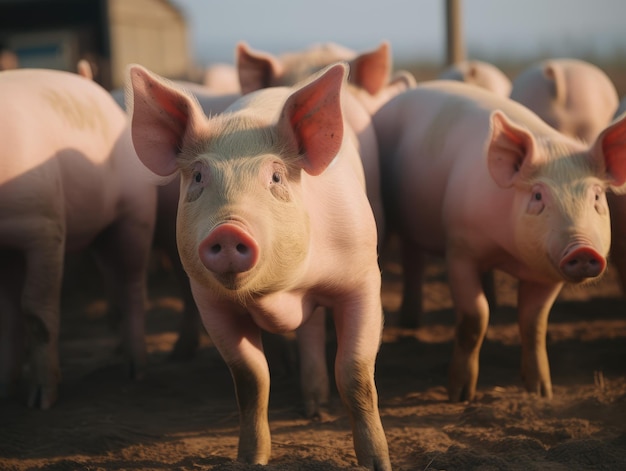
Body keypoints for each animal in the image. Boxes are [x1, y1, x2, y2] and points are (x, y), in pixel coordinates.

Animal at [0, 67, 155, 410]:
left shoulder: (46, 226)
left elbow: (36, 310)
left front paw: (41, 402)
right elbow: (10, 316)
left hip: (135, 216)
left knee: (133, 286)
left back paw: (136, 371)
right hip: (98, 235)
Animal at [127, 63, 390, 471]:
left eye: (276, 177)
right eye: (199, 176)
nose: (228, 229)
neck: (285, 292)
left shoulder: (362, 280)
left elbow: (355, 373)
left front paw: (377, 463)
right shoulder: (211, 303)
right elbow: (250, 379)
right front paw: (252, 459)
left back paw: (317, 409)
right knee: (308, 329)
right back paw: (312, 404)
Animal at [372, 80, 624, 402]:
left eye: (596, 196)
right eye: (538, 196)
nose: (582, 248)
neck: (509, 255)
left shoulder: (547, 273)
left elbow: (534, 323)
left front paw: (541, 392)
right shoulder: (459, 248)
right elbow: (475, 317)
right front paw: (460, 395)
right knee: (412, 260)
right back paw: (409, 324)